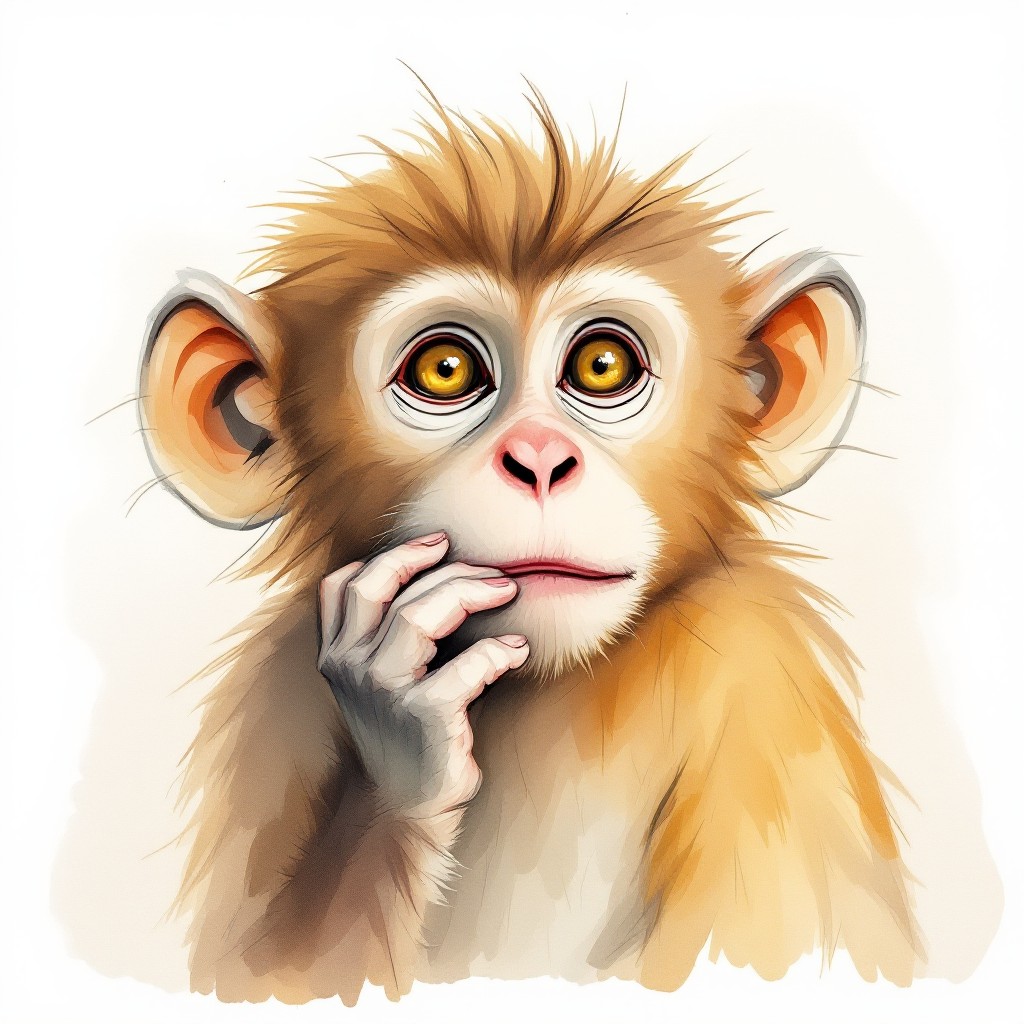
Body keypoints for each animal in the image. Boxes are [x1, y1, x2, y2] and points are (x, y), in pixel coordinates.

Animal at [138, 87, 921, 1005]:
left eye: (603, 364)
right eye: (444, 369)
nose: (541, 459)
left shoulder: (760, 683)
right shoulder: (272, 702)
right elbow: (268, 973)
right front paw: (406, 735)